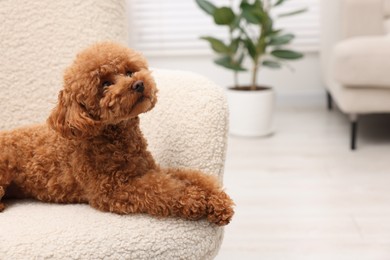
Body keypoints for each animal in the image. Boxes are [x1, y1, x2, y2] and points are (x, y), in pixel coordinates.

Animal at [0, 42, 233, 225]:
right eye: (105, 84)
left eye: (129, 72)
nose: (138, 84)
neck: (116, 138)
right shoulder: (112, 191)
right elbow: (162, 189)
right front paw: (196, 199)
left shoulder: (148, 168)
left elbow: (187, 176)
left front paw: (218, 201)